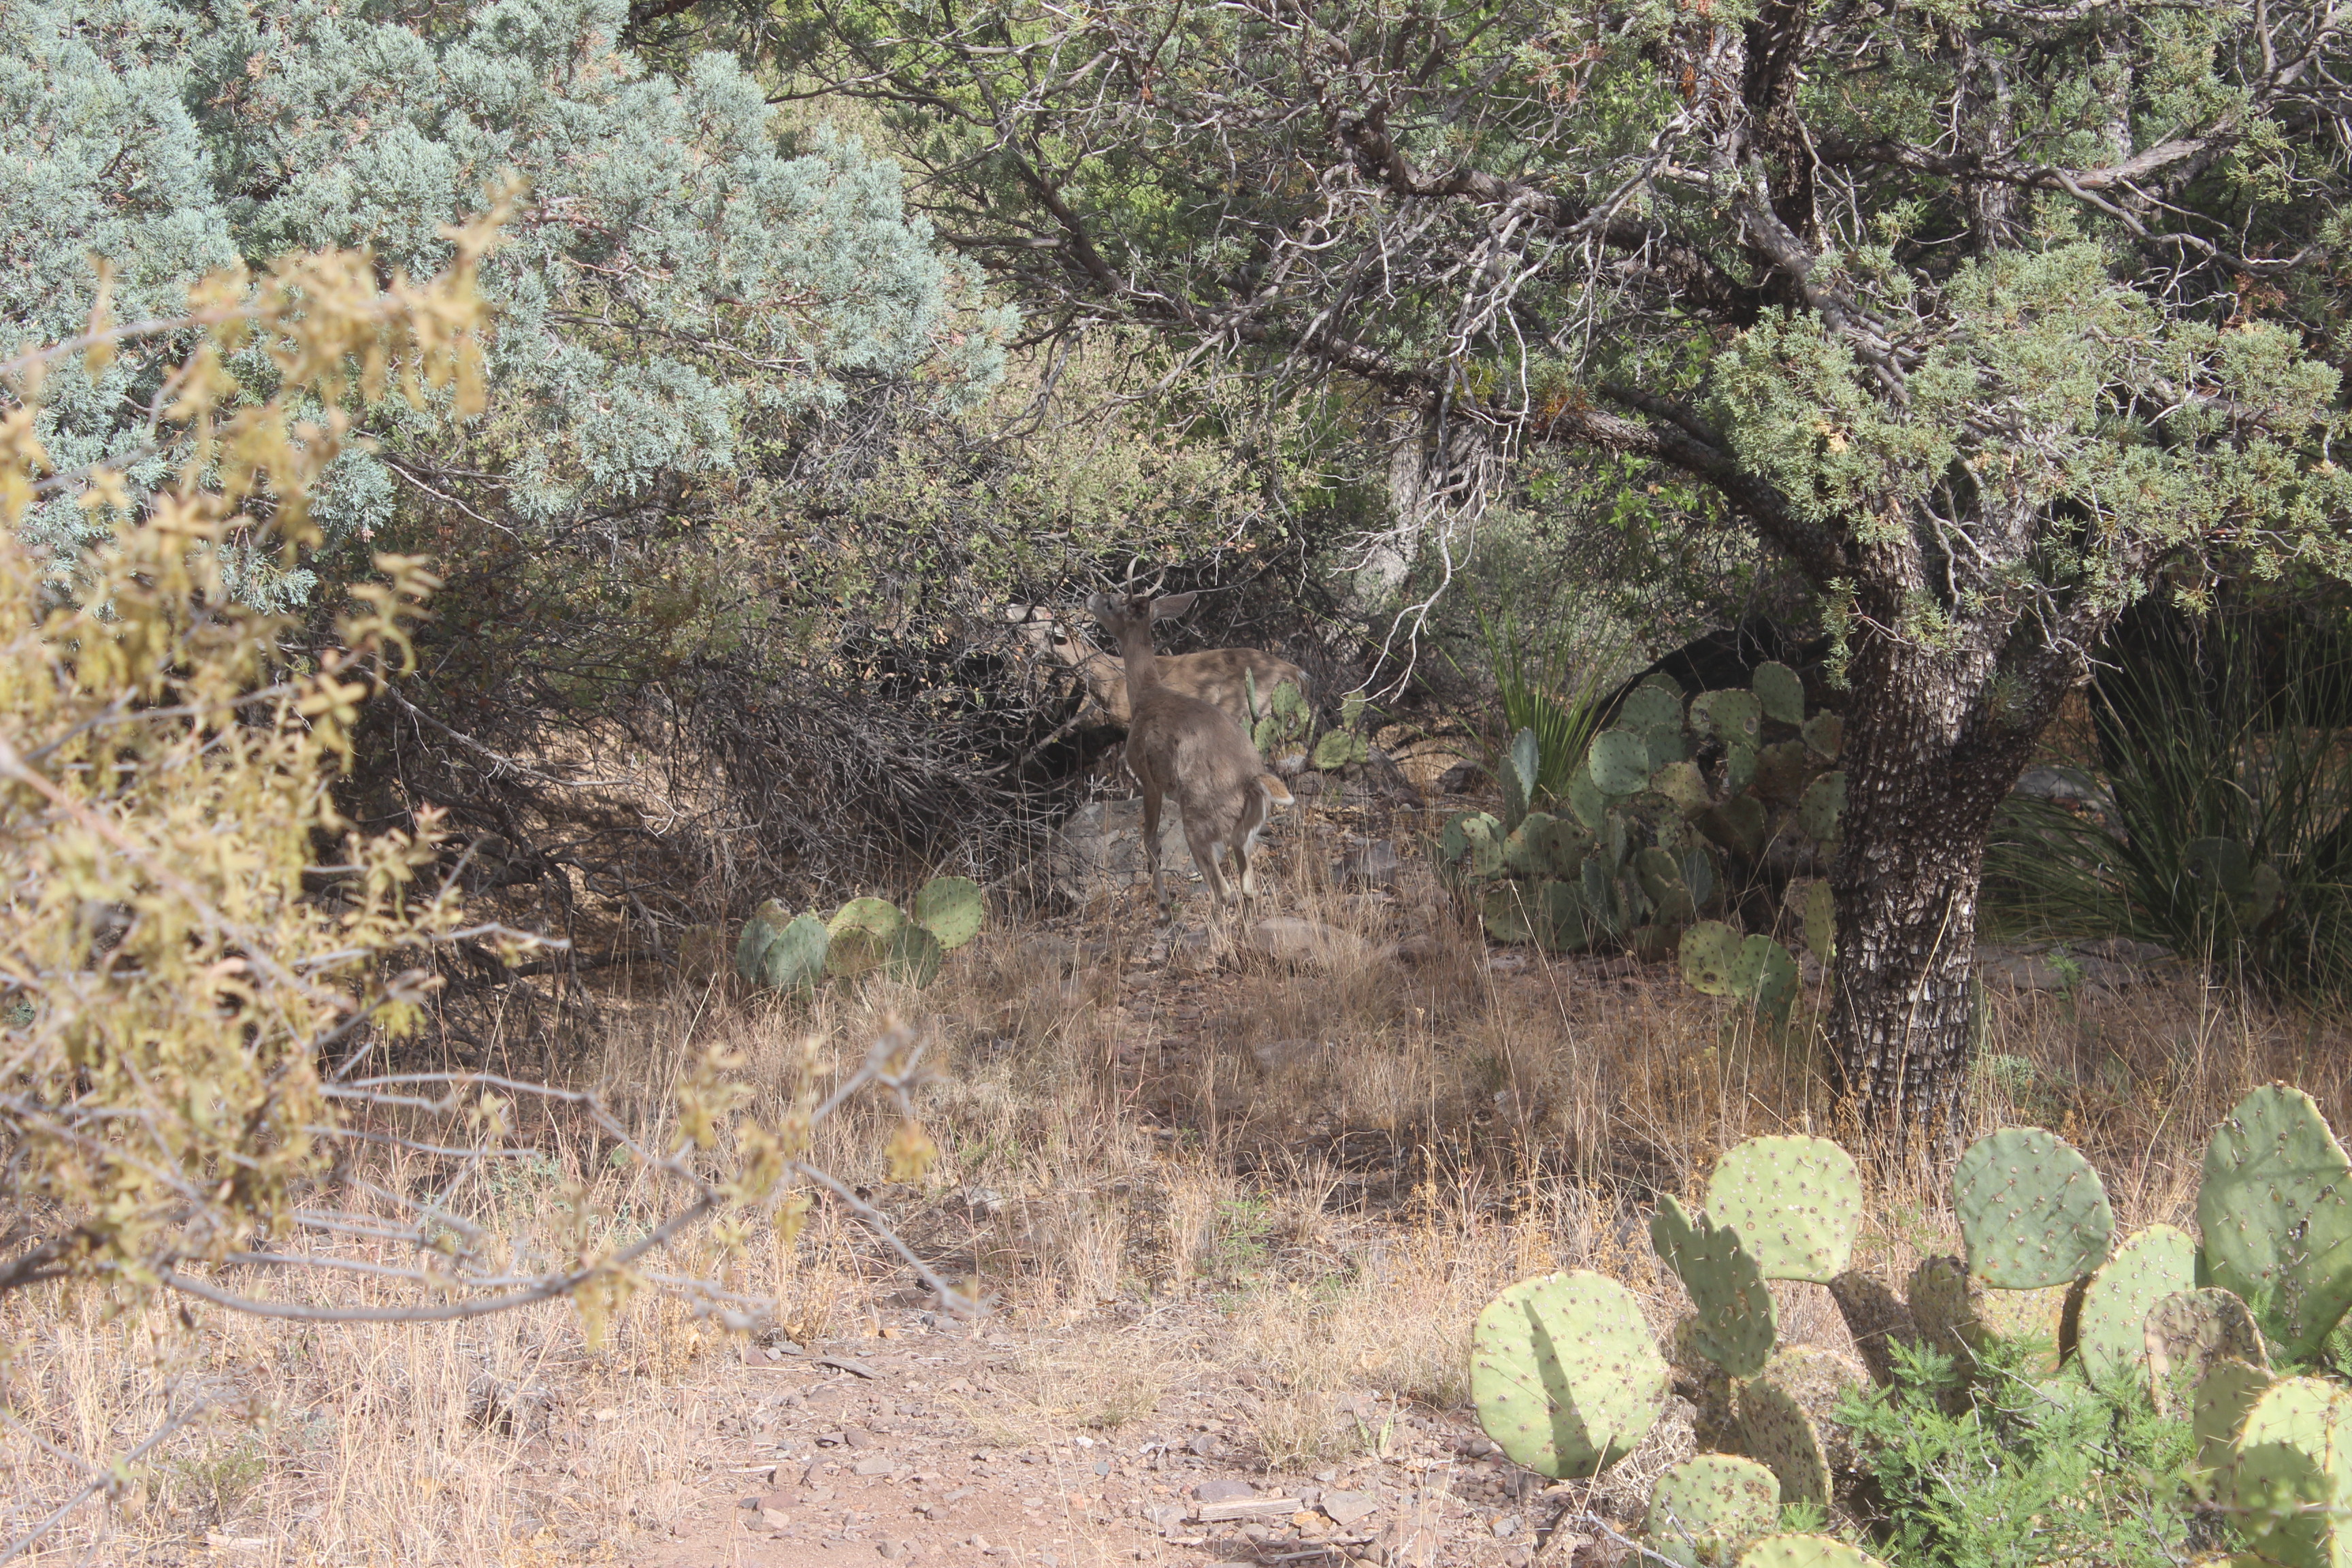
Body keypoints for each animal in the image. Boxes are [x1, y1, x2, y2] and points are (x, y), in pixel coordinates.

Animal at [1084, 590, 1294, 911]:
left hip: (1199, 824)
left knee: (1223, 891)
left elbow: (1150, 839)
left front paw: (1162, 907)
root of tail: (1251, 782)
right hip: (1245, 834)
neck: (1145, 696)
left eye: (1112, 602)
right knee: (1248, 888)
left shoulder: (1147, 778)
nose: (1091, 598)